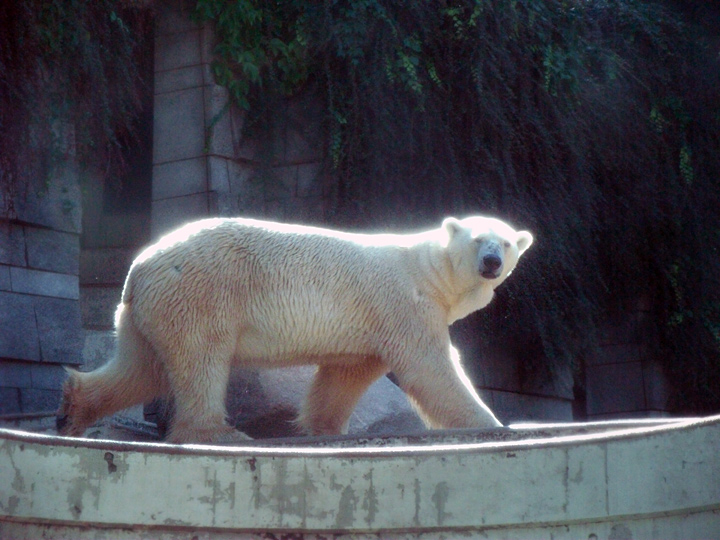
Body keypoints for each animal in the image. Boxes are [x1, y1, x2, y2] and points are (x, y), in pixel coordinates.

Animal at [59, 215, 532, 442]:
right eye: (478, 240)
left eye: (506, 243)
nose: (491, 262)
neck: (428, 269)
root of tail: (140, 266)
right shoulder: (406, 304)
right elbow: (432, 368)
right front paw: (491, 423)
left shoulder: (369, 328)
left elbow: (345, 375)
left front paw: (324, 429)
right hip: (201, 291)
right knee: (200, 359)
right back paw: (222, 433)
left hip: (149, 311)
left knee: (142, 367)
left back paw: (73, 408)